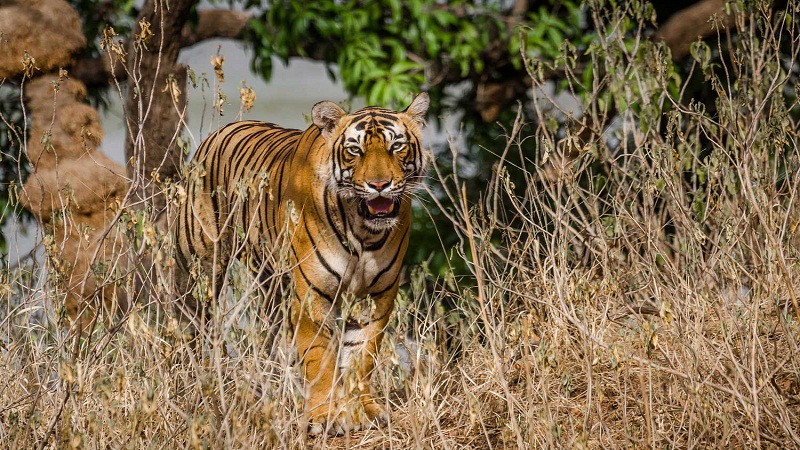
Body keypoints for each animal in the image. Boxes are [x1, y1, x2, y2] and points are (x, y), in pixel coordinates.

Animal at [173, 93, 428, 434]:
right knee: (193, 322)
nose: (379, 185)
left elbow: (362, 357)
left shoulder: (377, 298)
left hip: (272, 282)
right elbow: (319, 357)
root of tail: (219, 132)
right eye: (355, 150)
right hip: (202, 266)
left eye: (396, 146)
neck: (364, 233)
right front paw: (326, 415)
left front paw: (364, 410)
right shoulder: (312, 295)